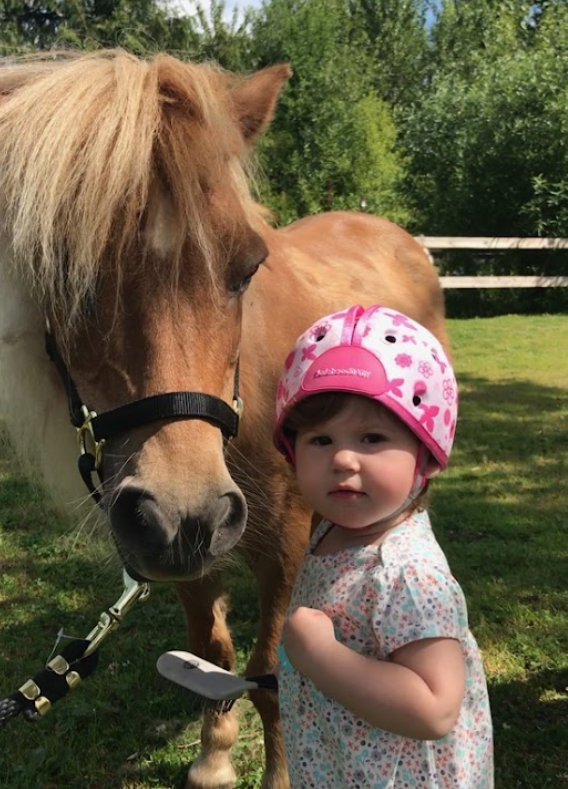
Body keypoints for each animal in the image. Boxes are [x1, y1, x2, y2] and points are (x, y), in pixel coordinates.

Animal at [0, 50, 448, 789]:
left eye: (245, 270)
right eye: (69, 280)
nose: (183, 510)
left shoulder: (285, 540)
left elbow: (270, 668)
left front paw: (281, 773)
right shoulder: (185, 548)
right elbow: (212, 649)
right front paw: (214, 756)